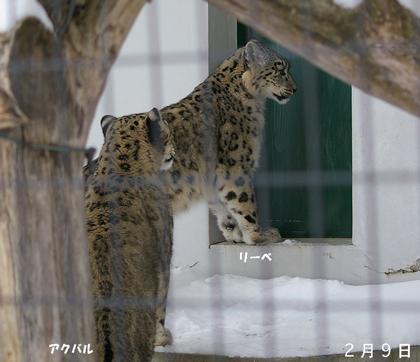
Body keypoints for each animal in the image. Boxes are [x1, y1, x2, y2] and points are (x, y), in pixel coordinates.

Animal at [162, 39, 296, 243]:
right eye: (280, 69)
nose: (295, 88)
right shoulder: (237, 166)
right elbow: (245, 202)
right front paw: (258, 235)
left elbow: (222, 206)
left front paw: (233, 232)